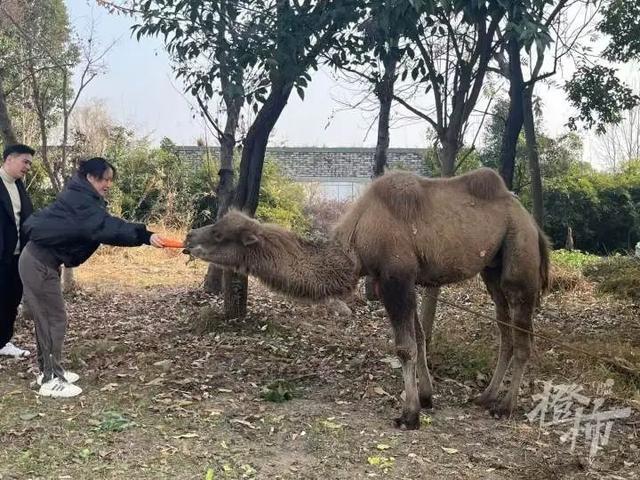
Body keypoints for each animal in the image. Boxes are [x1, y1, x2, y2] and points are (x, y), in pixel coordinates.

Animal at [185, 167, 552, 430]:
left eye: (219, 233)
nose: (189, 237)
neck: (356, 242)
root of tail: (533, 222)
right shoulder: (403, 279)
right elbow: (420, 339)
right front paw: (426, 397)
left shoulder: (396, 277)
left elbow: (405, 347)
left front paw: (409, 415)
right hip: (492, 269)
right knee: (505, 331)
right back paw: (486, 397)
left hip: (519, 259)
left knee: (523, 336)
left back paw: (504, 407)